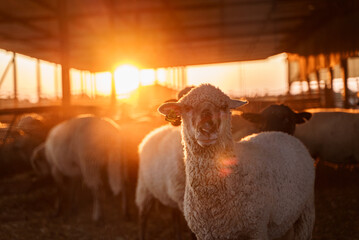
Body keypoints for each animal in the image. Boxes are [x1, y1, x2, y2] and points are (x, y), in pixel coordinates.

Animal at [159, 84, 316, 240]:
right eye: (186, 108)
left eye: (224, 106)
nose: (207, 129)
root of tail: (280, 133)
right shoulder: (205, 234)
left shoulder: (256, 230)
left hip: (306, 211)